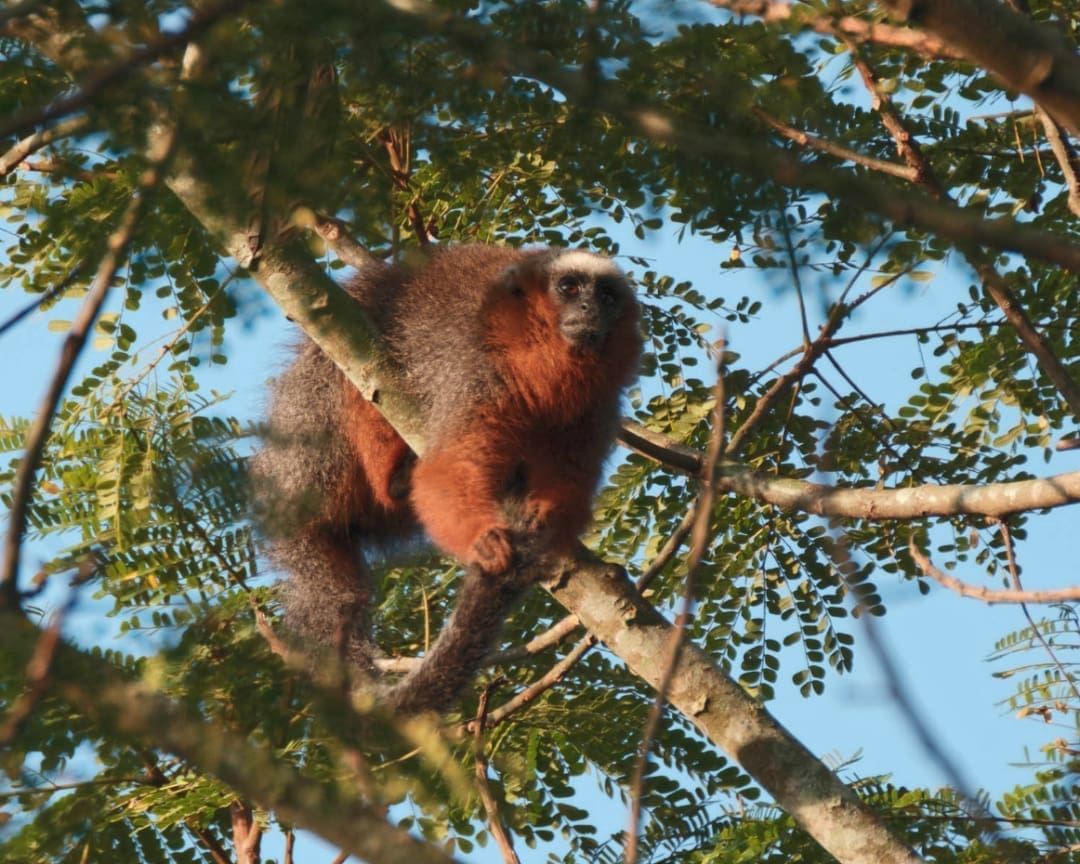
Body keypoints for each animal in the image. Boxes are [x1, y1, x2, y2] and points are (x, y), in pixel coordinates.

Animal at [252, 243, 639, 717]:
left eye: (606, 296)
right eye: (569, 288)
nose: (589, 309)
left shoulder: (597, 407)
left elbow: (571, 481)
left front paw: (545, 514)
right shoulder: (475, 370)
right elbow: (447, 466)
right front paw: (483, 538)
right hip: (313, 446)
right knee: (351, 370)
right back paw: (393, 475)